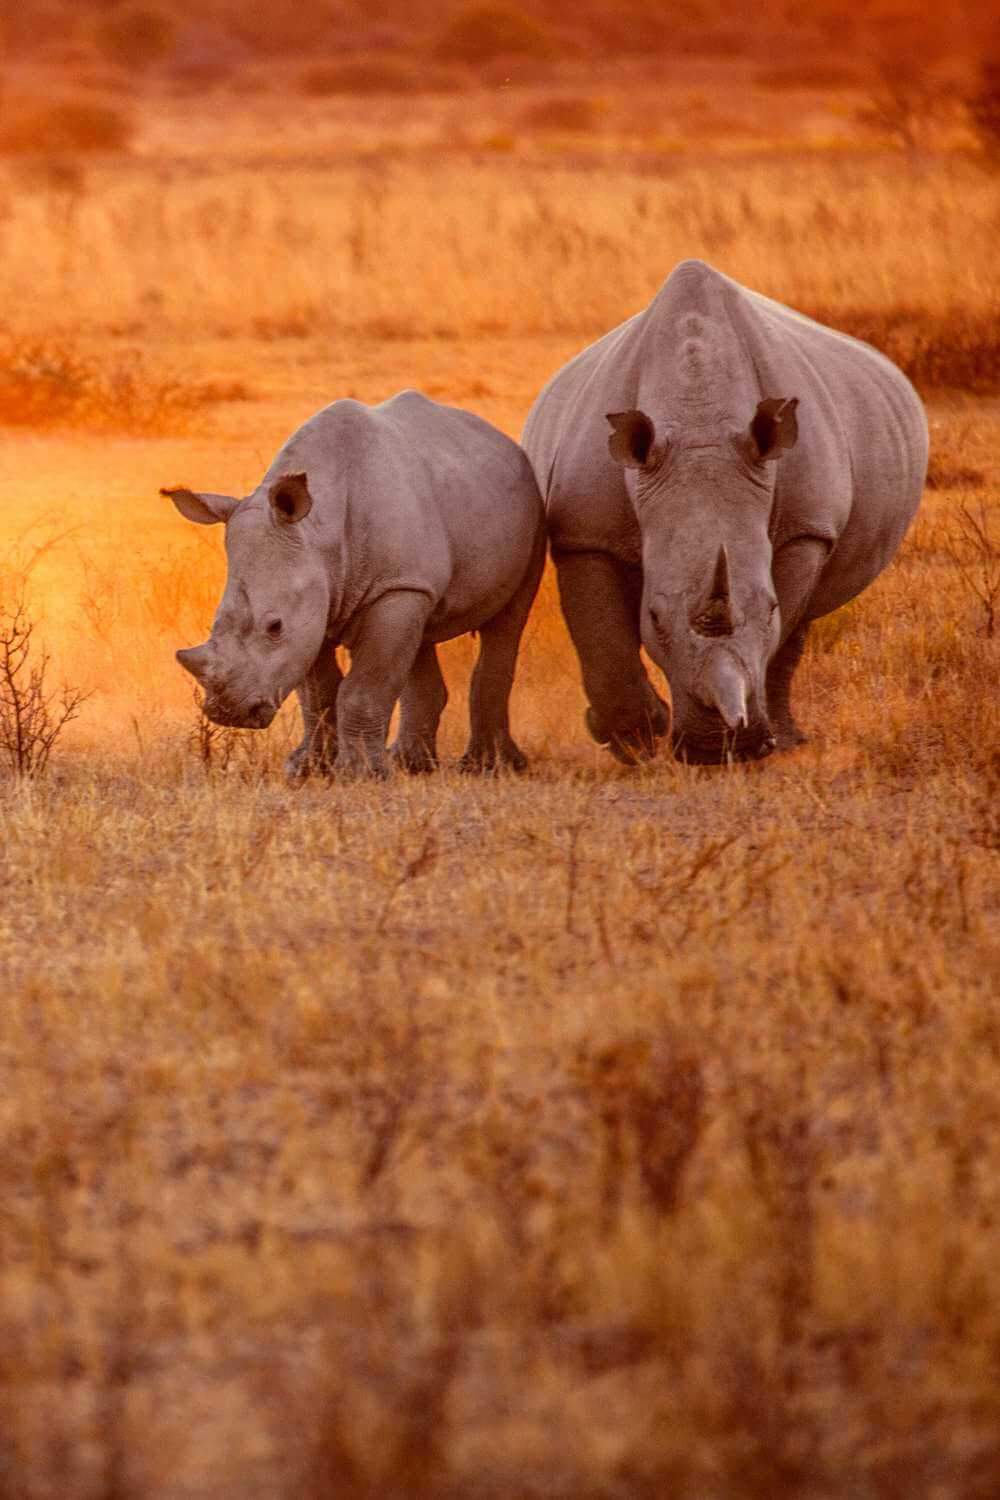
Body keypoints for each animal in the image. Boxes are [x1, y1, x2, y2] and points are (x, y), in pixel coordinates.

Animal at [165, 391, 546, 777]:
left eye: (275, 626)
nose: (228, 713)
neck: (317, 533)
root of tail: (504, 440)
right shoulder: (321, 600)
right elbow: (317, 694)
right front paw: (307, 769)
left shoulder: (392, 587)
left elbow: (364, 688)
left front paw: (362, 774)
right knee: (420, 633)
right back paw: (411, 764)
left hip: (530, 509)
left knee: (508, 620)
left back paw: (489, 767)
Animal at [522, 259, 928, 764]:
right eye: (654, 616)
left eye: (769, 608)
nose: (718, 748)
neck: (699, 422)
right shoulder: (585, 533)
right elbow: (602, 637)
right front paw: (634, 740)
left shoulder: (806, 527)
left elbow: (782, 625)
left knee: (804, 620)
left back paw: (788, 741)